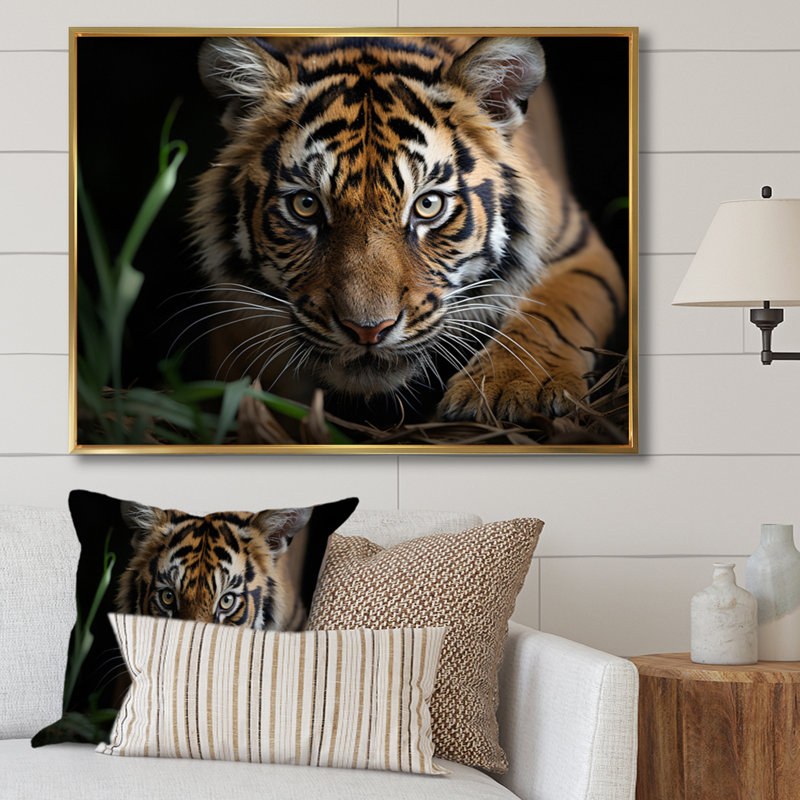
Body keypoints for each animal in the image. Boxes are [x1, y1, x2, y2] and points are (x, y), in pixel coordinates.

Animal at [189, 35, 627, 429]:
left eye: (427, 205)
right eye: (306, 205)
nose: (367, 331)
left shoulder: (576, 246)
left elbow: (550, 314)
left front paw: (514, 388)